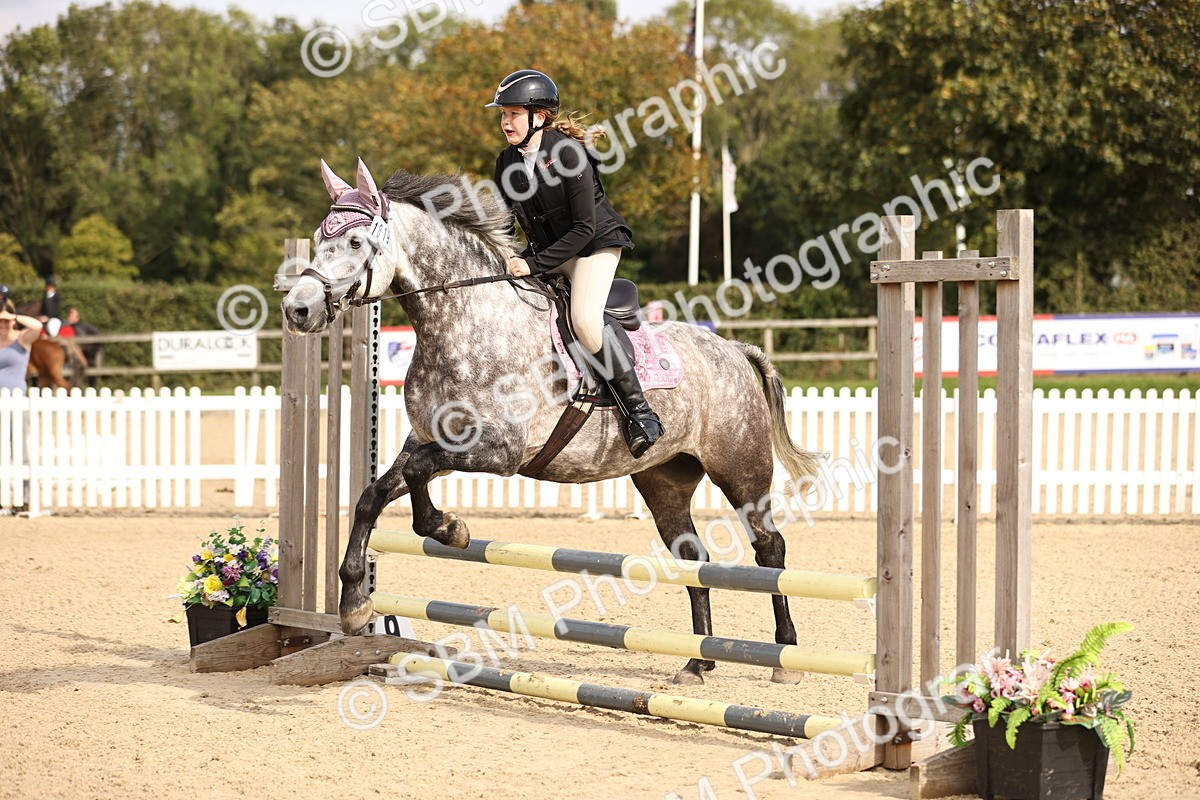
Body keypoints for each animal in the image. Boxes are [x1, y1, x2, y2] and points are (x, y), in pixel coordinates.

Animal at [282, 159, 822, 685]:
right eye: (318, 238)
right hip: (664, 479)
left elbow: (416, 480)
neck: (464, 321)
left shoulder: (498, 451)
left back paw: (786, 658)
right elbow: (373, 496)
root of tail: (734, 349)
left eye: (355, 242)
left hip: (740, 469)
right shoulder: (429, 440)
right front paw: (355, 603)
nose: (297, 309)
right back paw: (697, 663)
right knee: (693, 559)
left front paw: (450, 529)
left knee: (769, 549)